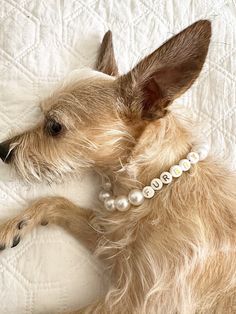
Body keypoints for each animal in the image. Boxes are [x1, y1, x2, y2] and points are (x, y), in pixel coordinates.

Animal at [0, 20, 236, 314]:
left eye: (54, 126)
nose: (2, 150)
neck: (155, 185)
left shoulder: (143, 301)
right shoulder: (111, 240)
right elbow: (56, 201)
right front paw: (17, 223)